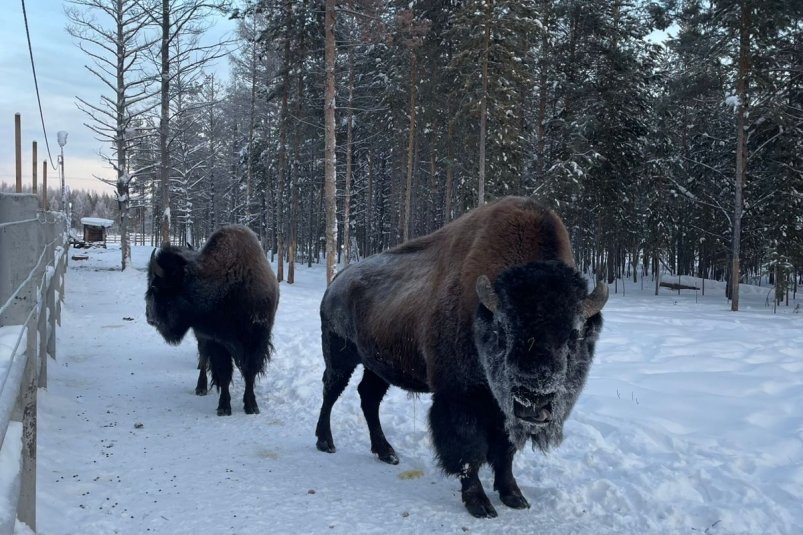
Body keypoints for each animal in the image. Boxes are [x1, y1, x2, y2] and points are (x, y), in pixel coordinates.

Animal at [146, 224, 282, 416]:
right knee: (203, 360)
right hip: (202, 338)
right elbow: (223, 374)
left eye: (155, 286)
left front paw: (251, 405)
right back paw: (201, 387)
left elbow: (250, 372)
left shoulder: (256, 340)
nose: (150, 317)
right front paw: (224, 407)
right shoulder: (217, 341)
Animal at [316, 197, 608, 520]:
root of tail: (337, 281)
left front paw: (514, 496)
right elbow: (469, 450)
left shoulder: (501, 407)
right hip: (340, 355)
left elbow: (504, 452)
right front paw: (479, 503)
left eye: (574, 334)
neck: (482, 313)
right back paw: (326, 442)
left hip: (376, 366)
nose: (534, 401)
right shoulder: (460, 396)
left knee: (368, 397)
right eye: (502, 329)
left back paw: (386, 452)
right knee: (331, 390)